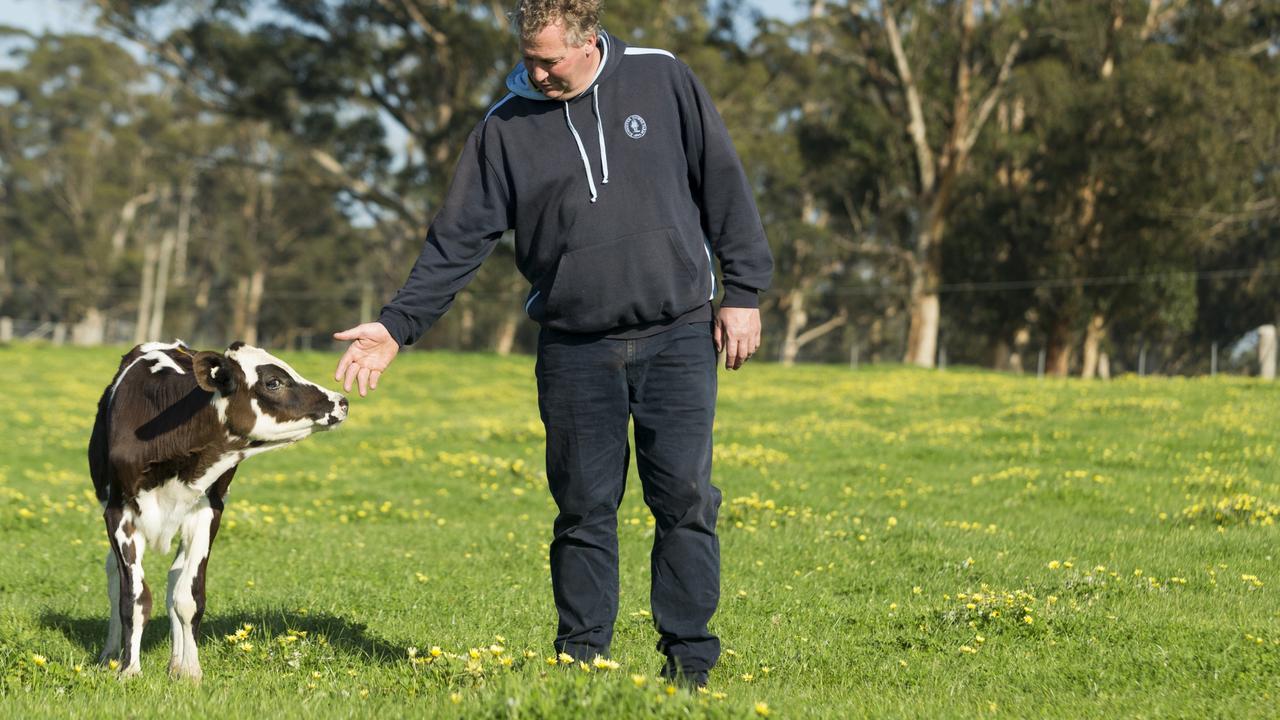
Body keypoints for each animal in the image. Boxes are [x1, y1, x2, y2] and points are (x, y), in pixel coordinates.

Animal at [87, 338, 348, 676]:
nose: (341, 401)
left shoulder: (208, 510)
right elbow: (134, 597)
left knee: (175, 579)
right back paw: (110, 654)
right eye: (273, 382)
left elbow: (188, 597)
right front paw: (129, 671)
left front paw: (189, 672)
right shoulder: (119, 514)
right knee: (114, 576)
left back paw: (175, 661)